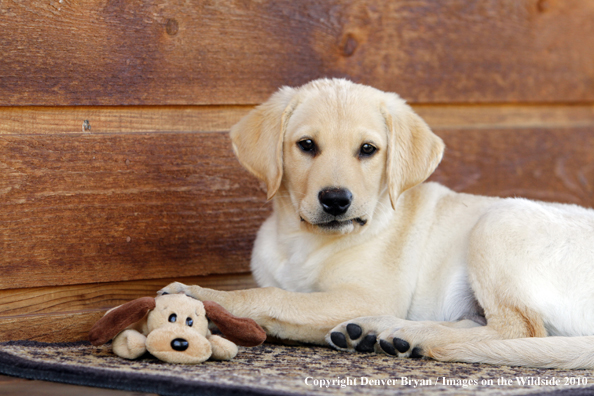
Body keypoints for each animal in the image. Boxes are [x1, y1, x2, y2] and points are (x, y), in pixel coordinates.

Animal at [161, 79, 592, 370]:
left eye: (368, 150)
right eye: (306, 145)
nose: (336, 200)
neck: (302, 241)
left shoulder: (368, 295)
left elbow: (274, 297)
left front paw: (200, 295)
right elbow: (279, 293)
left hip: (497, 223)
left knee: (520, 330)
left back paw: (411, 335)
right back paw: (378, 332)